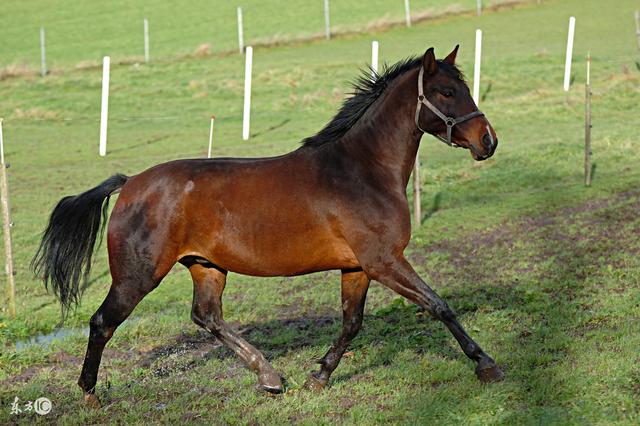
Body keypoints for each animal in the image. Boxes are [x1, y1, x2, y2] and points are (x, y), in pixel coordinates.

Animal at [33, 45, 504, 408]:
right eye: (446, 92)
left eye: (466, 89)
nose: (488, 141)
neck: (361, 171)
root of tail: (130, 184)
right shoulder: (385, 261)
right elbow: (438, 305)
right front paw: (486, 364)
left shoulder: (358, 267)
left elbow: (352, 323)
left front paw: (318, 377)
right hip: (137, 276)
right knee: (102, 322)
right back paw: (90, 394)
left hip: (206, 266)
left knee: (206, 316)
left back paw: (270, 377)